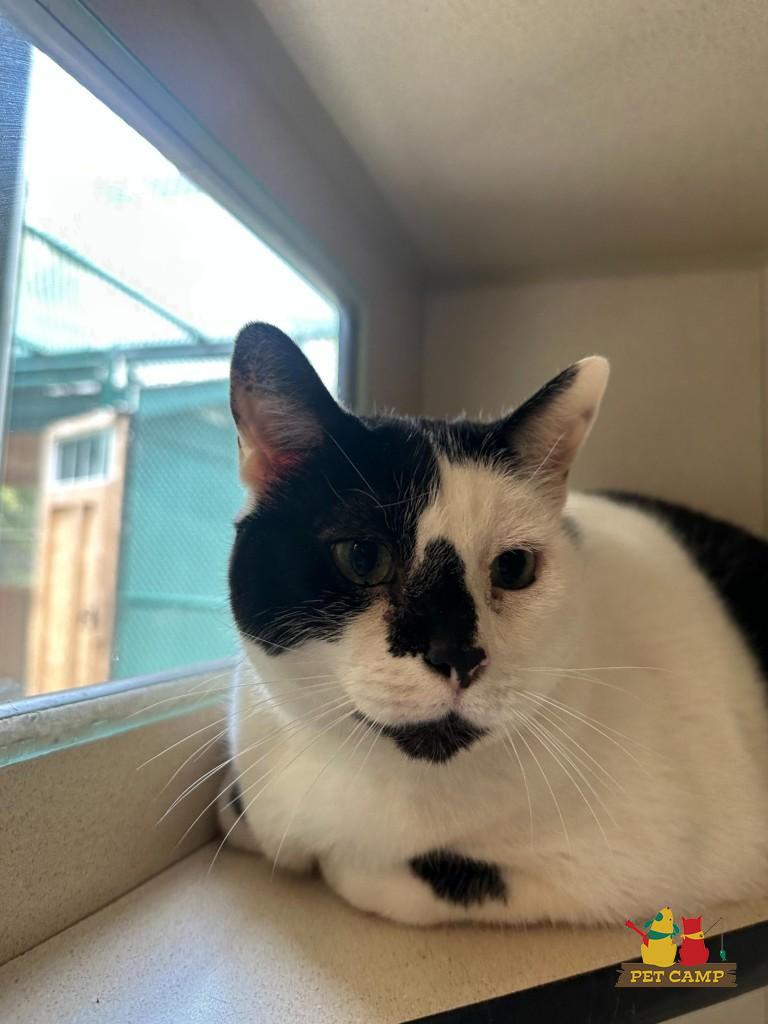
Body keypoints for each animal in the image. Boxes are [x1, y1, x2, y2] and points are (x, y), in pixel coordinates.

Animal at [218, 321, 768, 926]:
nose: (458, 655)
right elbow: (244, 815)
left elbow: (381, 876)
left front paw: (332, 861)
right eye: (362, 557)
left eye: (514, 567)